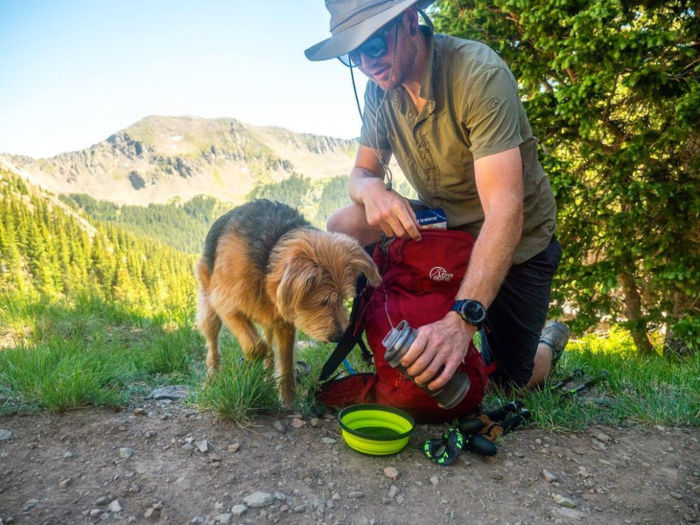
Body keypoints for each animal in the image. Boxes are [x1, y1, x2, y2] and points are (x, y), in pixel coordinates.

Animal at [194, 199, 380, 404]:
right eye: (323, 301)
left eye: (342, 299)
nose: (339, 336)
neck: (270, 257)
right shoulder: (225, 304)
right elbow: (257, 347)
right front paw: (254, 375)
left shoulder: (284, 323)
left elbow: (286, 360)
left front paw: (288, 401)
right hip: (210, 306)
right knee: (213, 345)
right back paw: (211, 380)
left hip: (267, 319)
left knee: (269, 347)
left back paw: (267, 379)